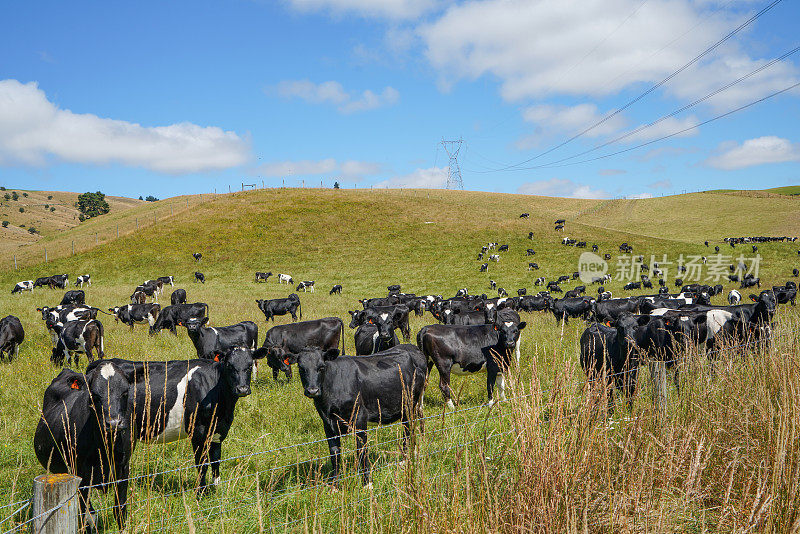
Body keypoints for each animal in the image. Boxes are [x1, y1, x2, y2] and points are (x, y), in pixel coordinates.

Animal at [34, 364, 134, 532]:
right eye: (94, 394)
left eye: (125, 392)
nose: (114, 423)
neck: (105, 447)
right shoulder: (79, 472)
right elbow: (86, 515)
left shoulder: (123, 467)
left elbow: (120, 509)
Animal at [93, 350, 268, 496]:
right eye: (230, 366)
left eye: (249, 365)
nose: (242, 389)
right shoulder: (198, 431)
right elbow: (202, 463)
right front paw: (201, 493)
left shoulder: (218, 431)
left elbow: (216, 460)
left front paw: (217, 488)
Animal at [290, 346, 424, 488]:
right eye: (301, 368)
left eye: (321, 367)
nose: (312, 390)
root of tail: (412, 348)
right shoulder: (327, 423)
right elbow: (334, 453)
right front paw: (335, 486)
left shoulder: (360, 418)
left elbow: (361, 451)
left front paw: (367, 483)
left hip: (410, 406)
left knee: (408, 431)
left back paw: (406, 459)